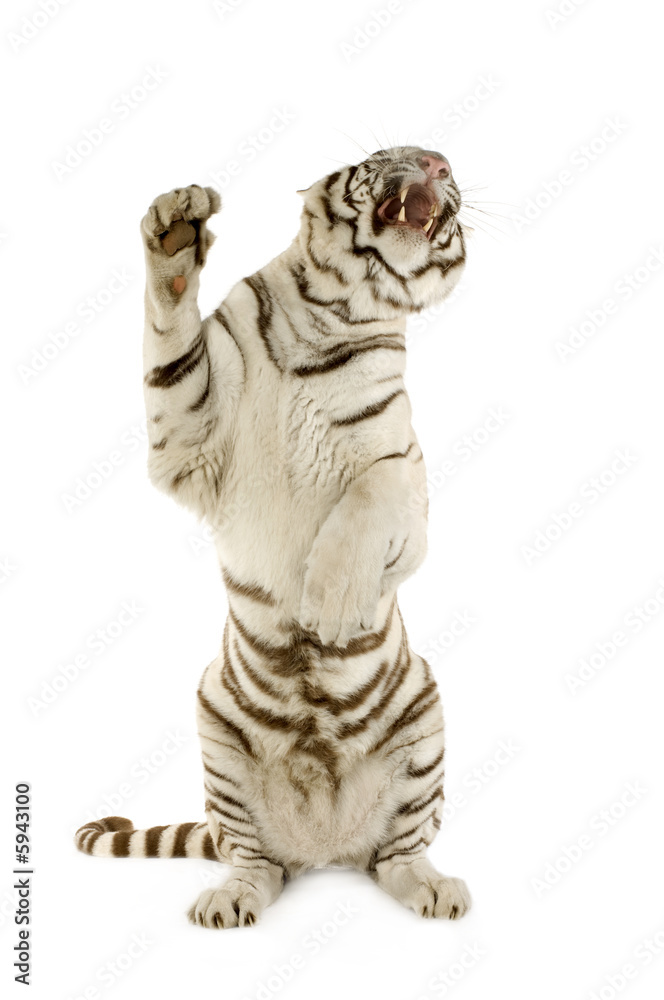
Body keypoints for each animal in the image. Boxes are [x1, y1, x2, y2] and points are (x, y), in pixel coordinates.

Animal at [74, 145, 471, 928]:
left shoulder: (404, 474)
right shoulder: (189, 439)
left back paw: (433, 887)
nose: (440, 162)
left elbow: (370, 501)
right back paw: (228, 898)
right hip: (215, 733)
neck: (331, 312)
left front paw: (330, 605)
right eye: (389, 155)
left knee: (398, 854)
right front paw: (175, 231)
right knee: (252, 860)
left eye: (449, 174)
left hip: (425, 719)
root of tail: (325, 845)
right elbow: (169, 338)